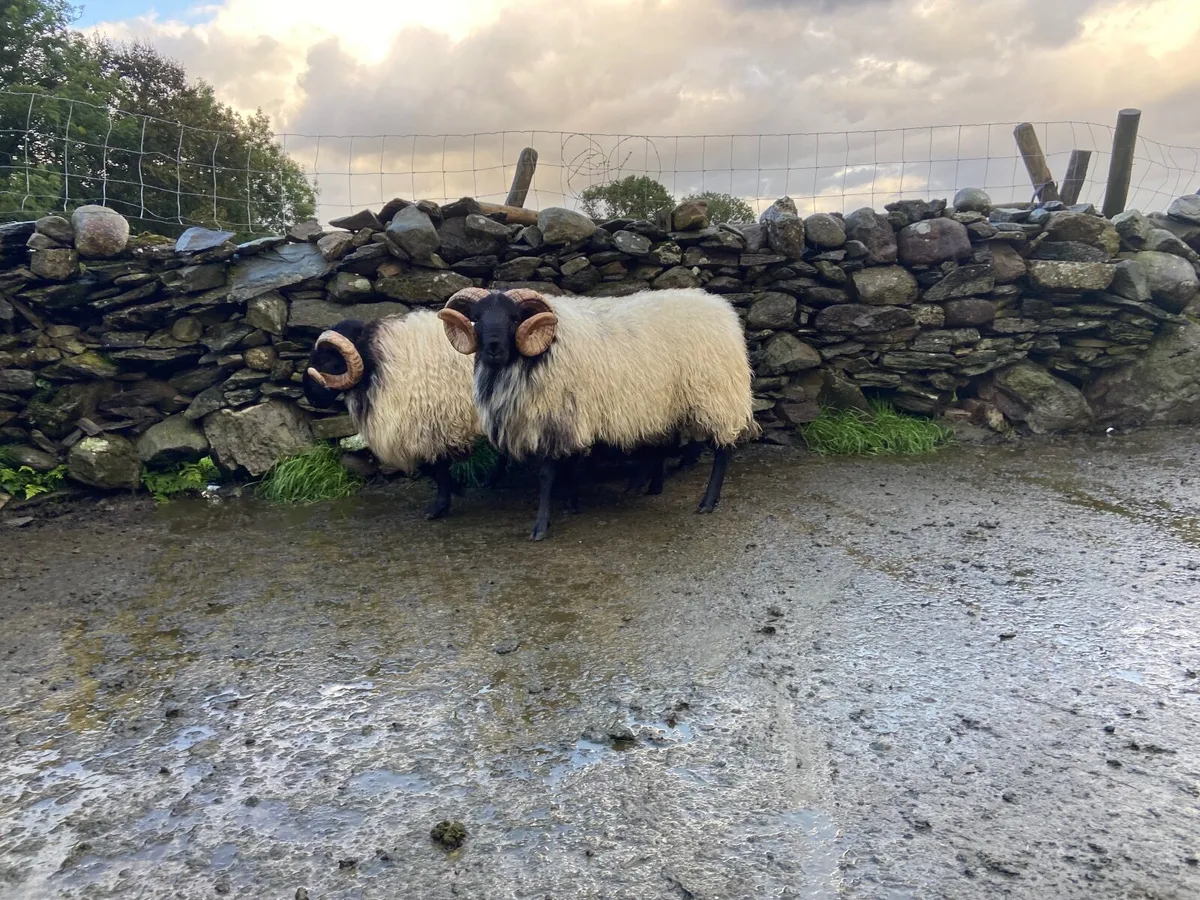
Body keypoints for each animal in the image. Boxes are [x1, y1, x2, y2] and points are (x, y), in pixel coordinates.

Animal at [302, 307, 494, 520]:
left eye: (326, 360)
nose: (310, 396)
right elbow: (431, 468)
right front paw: (457, 489)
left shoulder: (431, 425)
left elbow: (435, 468)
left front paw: (439, 507)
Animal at [437, 286, 758, 540]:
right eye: (476, 318)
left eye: (514, 318)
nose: (492, 349)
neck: (543, 352)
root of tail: (722, 308)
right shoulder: (572, 415)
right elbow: (571, 465)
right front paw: (572, 502)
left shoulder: (556, 417)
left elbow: (548, 474)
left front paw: (541, 525)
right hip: (667, 401)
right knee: (664, 444)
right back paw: (649, 486)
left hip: (717, 394)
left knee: (722, 450)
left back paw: (707, 501)